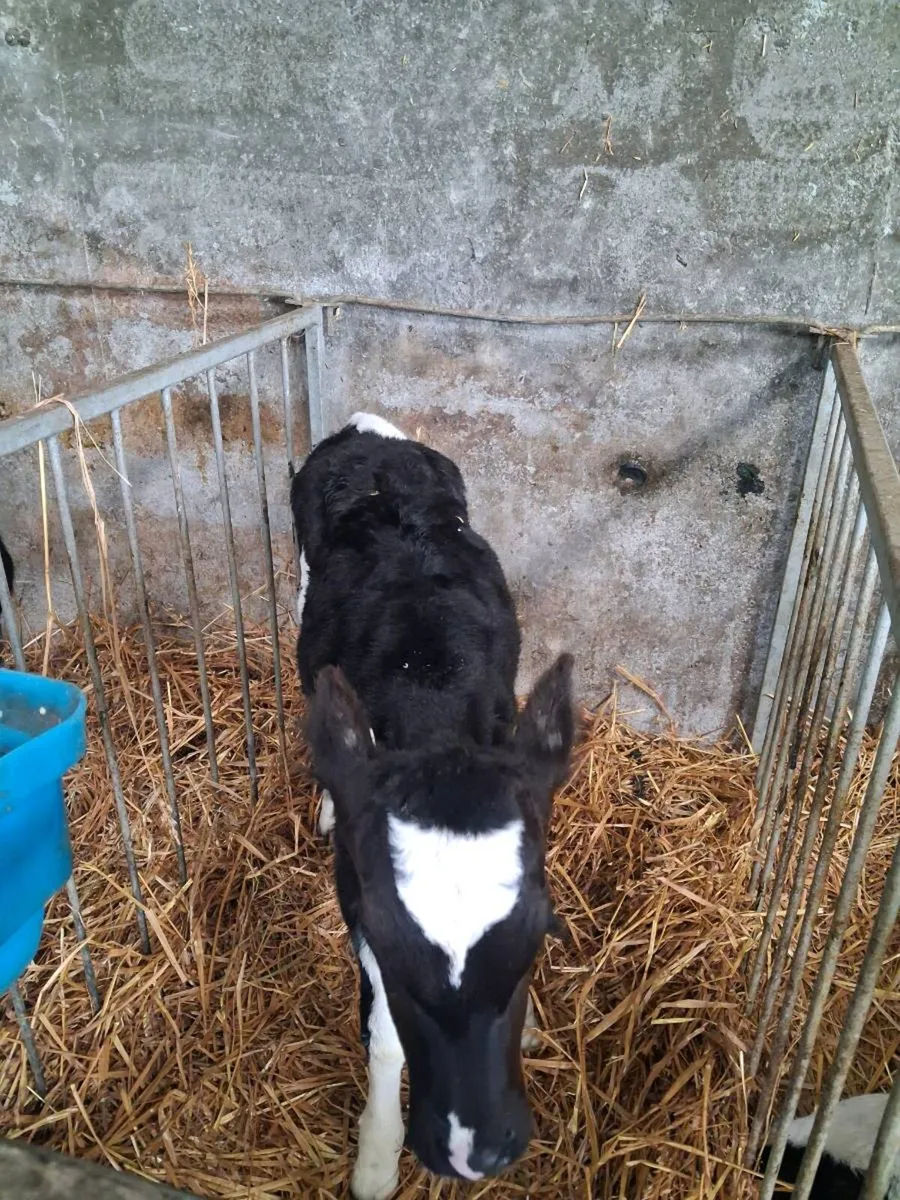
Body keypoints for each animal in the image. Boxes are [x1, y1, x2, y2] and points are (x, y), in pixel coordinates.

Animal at [291, 412, 575, 1199]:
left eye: (541, 930)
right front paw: (376, 1157)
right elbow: (387, 1037)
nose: (475, 1150)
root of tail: (369, 433)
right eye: (387, 940)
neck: (430, 672)